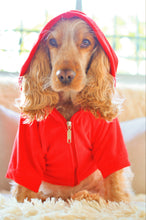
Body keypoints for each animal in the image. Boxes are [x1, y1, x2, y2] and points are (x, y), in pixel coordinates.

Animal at [5, 10, 132, 203]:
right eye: (52, 42)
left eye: (86, 42)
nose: (65, 75)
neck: (69, 103)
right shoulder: (26, 145)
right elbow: (23, 189)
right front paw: (23, 204)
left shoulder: (110, 139)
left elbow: (115, 182)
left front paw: (118, 203)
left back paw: (87, 196)